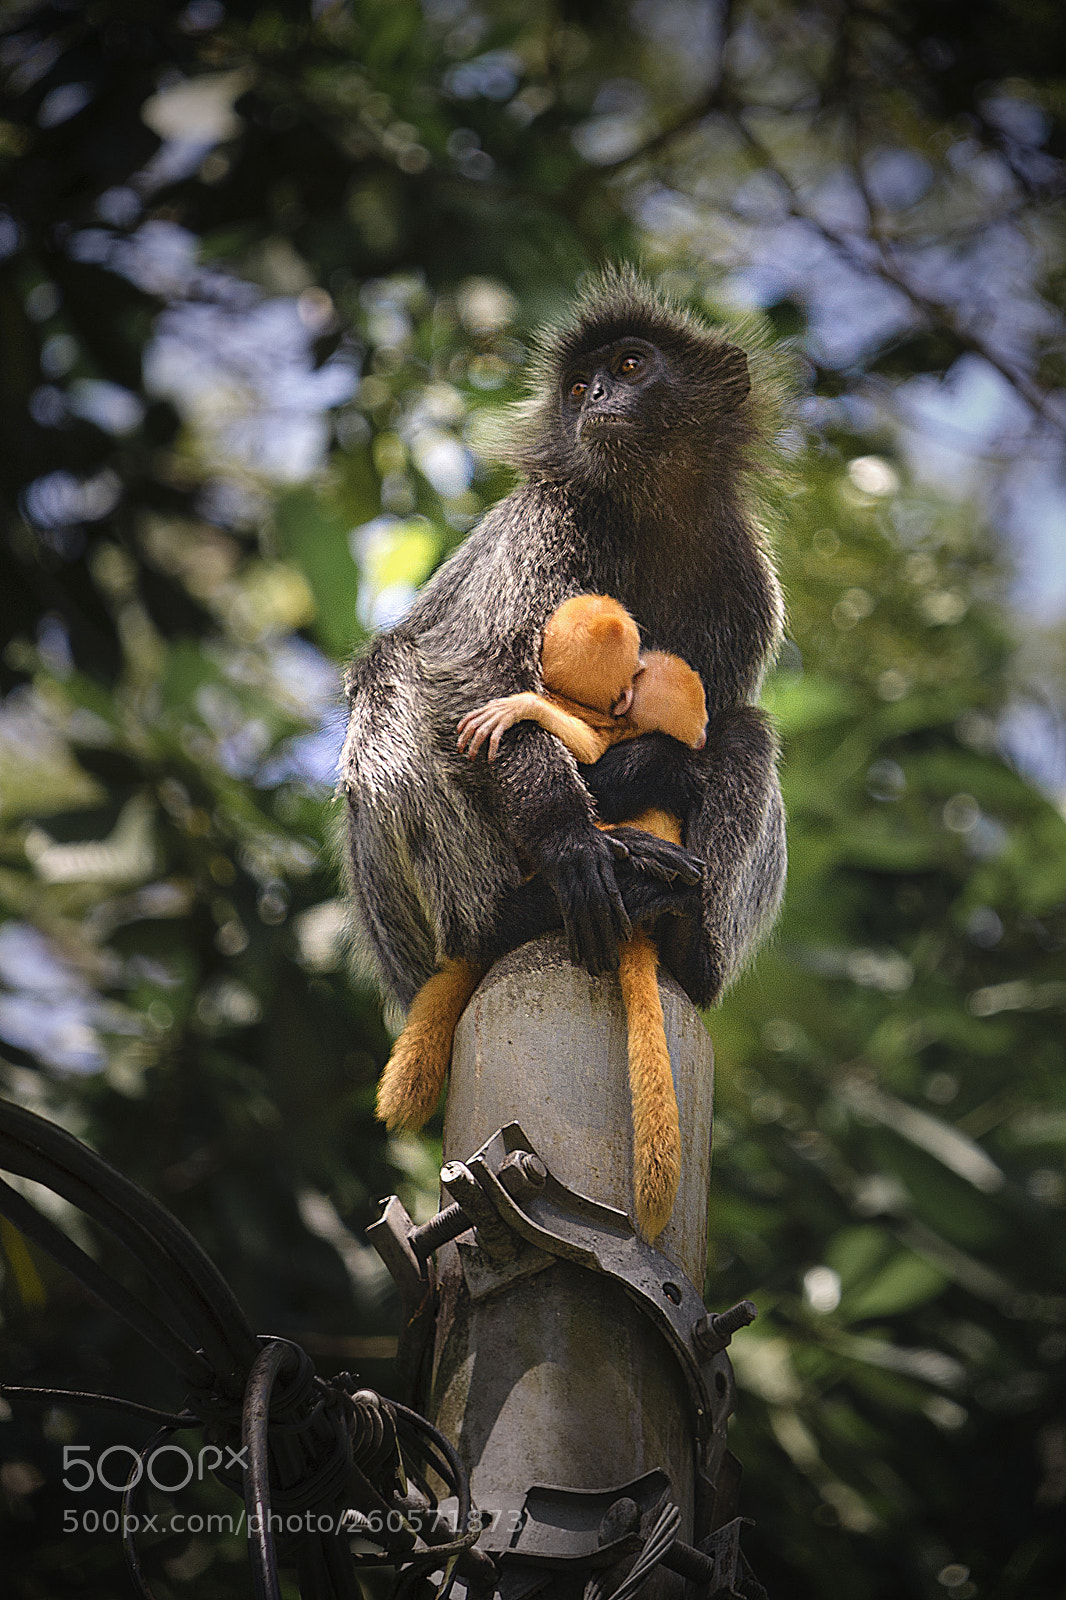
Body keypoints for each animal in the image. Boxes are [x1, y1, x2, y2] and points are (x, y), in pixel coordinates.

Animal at [342, 265, 785, 1065]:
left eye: (631, 365)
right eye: (579, 387)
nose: (599, 397)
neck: (643, 510)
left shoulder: (741, 575)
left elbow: (709, 724)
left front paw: (652, 773)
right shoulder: (544, 520)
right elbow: (476, 680)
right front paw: (573, 840)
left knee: (749, 733)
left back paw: (687, 937)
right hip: (409, 927)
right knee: (391, 672)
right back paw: (513, 912)